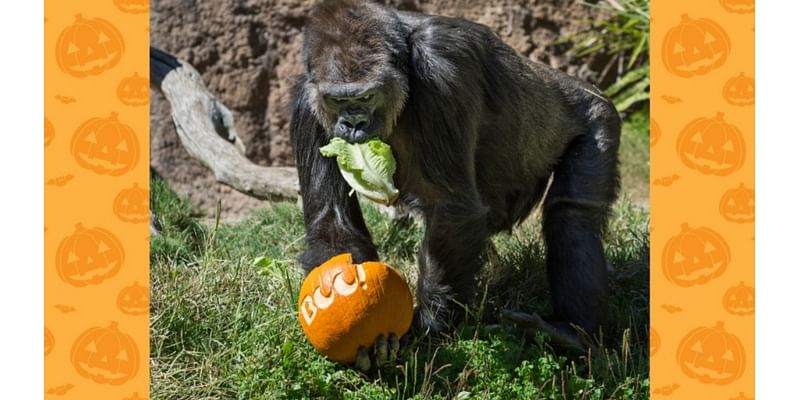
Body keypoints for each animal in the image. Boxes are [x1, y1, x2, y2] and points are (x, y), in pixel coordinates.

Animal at [290, 0, 620, 368]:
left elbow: (452, 208)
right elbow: (332, 222)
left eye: (367, 97)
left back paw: (571, 333)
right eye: (337, 101)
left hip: (599, 115)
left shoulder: (442, 67)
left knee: (571, 216)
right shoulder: (306, 105)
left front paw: (427, 329)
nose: (353, 124)